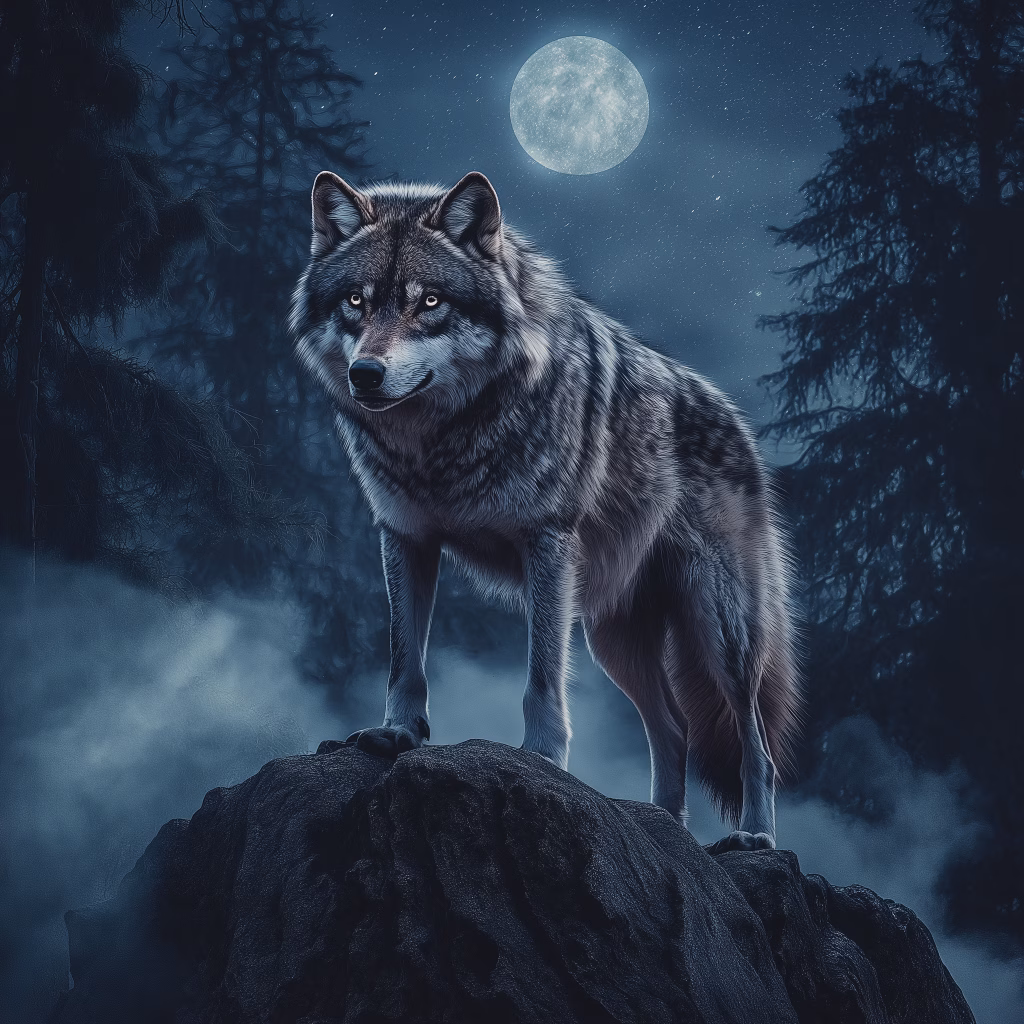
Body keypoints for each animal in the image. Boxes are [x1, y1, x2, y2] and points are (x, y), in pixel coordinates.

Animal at [289, 170, 800, 851]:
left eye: (430, 303)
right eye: (355, 302)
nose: (365, 374)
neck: (440, 442)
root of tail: (738, 423)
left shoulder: (547, 544)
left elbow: (541, 677)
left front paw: (540, 759)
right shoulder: (404, 537)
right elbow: (404, 659)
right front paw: (397, 733)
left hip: (719, 629)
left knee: (753, 739)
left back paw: (755, 838)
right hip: (615, 638)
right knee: (675, 729)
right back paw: (663, 827)